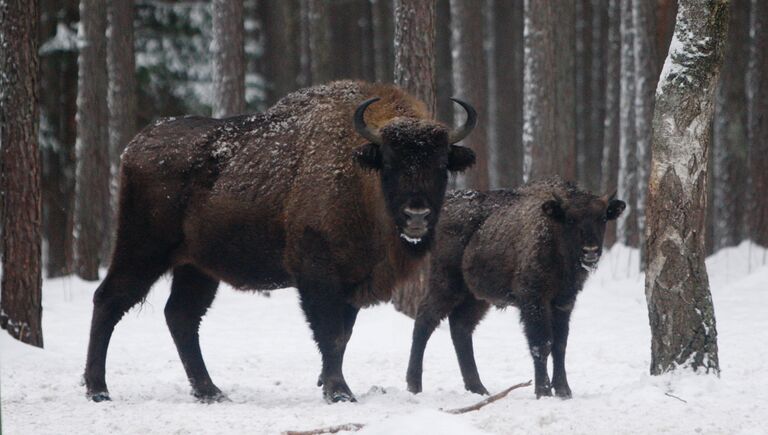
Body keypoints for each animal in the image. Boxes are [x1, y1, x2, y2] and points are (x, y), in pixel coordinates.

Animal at [87, 80, 476, 404]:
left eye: (441, 164)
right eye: (391, 162)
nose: (416, 216)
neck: (360, 174)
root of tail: (134, 147)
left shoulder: (353, 282)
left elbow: (344, 334)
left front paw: (327, 383)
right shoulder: (317, 275)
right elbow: (331, 333)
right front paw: (339, 392)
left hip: (196, 267)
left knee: (181, 316)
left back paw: (211, 392)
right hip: (141, 250)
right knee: (110, 299)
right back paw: (98, 389)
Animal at [404, 177, 628, 398]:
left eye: (602, 218)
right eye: (571, 219)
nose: (590, 251)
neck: (554, 233)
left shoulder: (564, 302)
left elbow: (560, 344)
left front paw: (564, 391)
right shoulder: (534, 300)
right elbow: (542, 343)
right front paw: (543, 391)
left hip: (476, 297)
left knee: (461, 328)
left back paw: (479, 389)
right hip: (446, 285)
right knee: (425, 321)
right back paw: (414, 385)